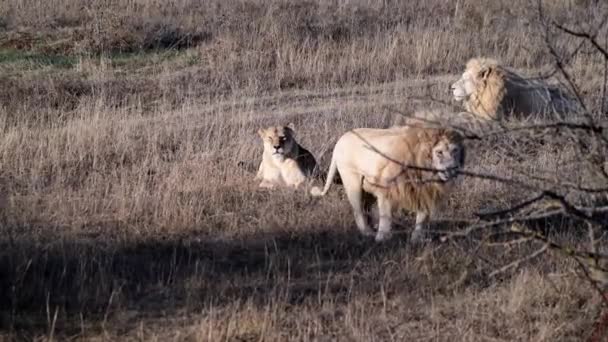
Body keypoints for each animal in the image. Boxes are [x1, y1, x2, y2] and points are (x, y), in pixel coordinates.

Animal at [312, 124, 464, 242]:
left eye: (455, 150)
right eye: (439, 152)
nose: (452, 169)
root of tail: (340, 140)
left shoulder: (424, 191)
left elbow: (422, 217)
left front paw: (416, 239)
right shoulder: (386, 190)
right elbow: (386, 215)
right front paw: (382, 238)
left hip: (366, 190)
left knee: (365, 209)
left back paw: (372, 228)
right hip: (352, 181)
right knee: (358, 211)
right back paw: (368, 233)